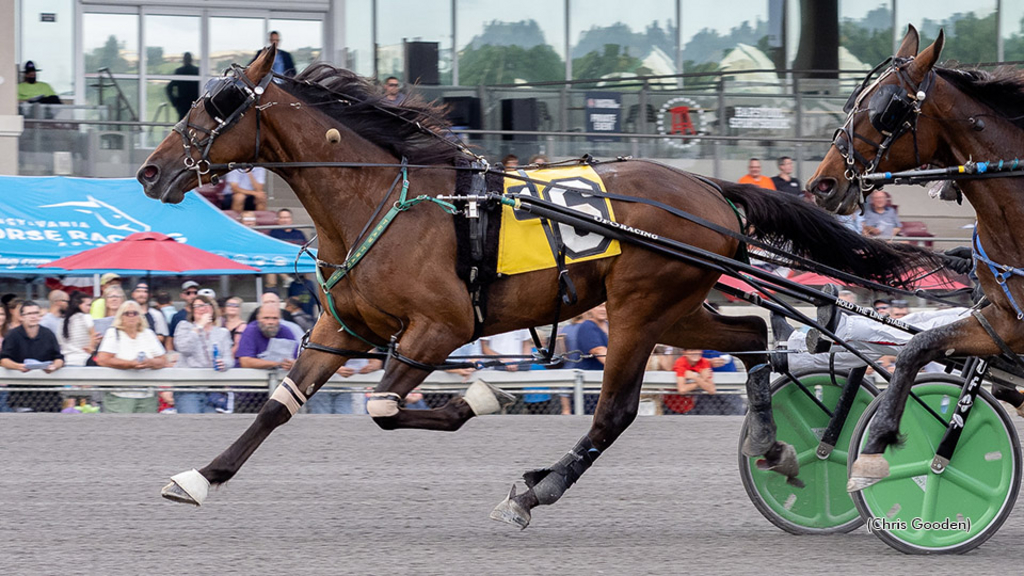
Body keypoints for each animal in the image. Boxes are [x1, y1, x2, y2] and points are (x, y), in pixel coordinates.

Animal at [138, 48, 942, 524]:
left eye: (219, 104)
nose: (150, 171)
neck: (389, 199)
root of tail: (712, 190)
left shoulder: (441, 327)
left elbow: (387, 406)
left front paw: (481, 397)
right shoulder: (344, 326)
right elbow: (280, 404)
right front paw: (200, 476)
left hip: (639, 305)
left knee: (616, 411)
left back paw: (537, 488)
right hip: (673, 304)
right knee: (751, 338)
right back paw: (776, 449)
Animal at [806, 25, 1024, 487]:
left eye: (887, 110)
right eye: (854, 101)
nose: (822, 184)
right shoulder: (1001, 321)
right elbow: (914, 349)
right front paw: (877, 445)